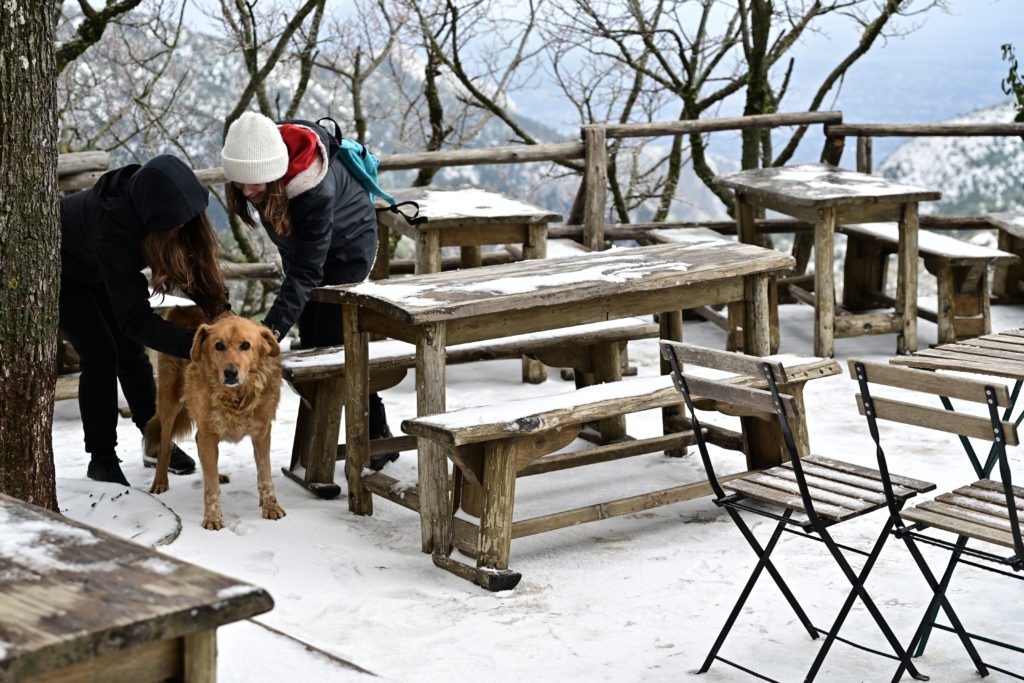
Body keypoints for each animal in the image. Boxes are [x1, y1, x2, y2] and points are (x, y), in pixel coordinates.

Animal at [145, 307, 284, 532]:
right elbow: (211, 487)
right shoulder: (209, 433)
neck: (235, 396)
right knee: (165, 445)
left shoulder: (261, 433)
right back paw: (160, 481)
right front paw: (212, 518)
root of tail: (181, 307)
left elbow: (265, 476)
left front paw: (270, 506)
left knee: (198, 443)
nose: (230, 373)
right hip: (169, 404)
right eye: (219, 346)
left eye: (246, 345)